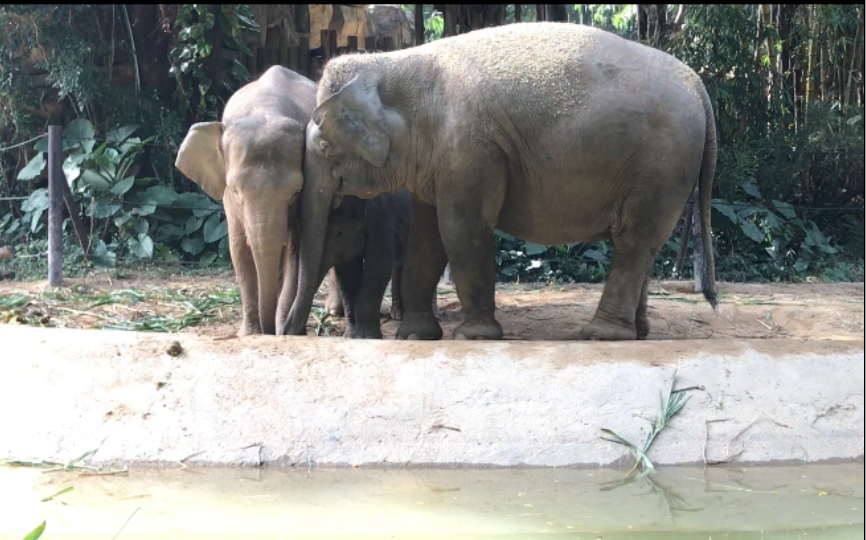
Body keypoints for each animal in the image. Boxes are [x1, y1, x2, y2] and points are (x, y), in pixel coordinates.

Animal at [284, 23, 716, 342]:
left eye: (325, 146)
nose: (291, 332)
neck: (394, 64)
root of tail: (698, 85)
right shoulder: (439, 161)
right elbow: (428, 238)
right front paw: (416, 335)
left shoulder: (471, 149)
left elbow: (462, 230)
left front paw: (473, 336)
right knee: (644, 245)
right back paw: (639, 331)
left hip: (661, 164)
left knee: (632, 240)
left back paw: (600, 335)